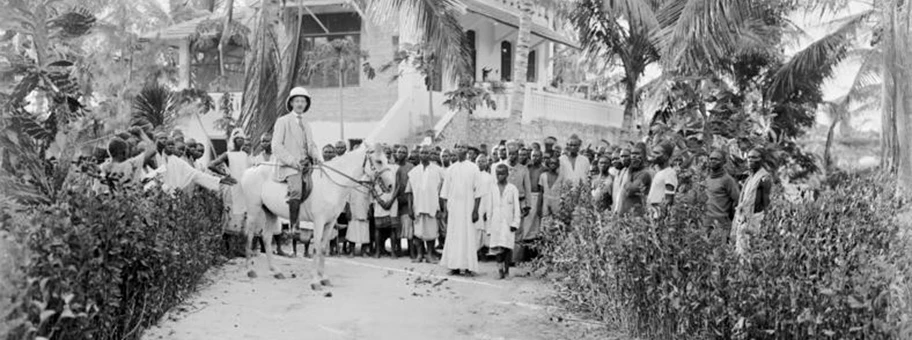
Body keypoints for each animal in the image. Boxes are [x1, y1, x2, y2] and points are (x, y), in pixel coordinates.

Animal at [239, 145, 392, 290]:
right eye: (378, 161)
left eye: (386, 159)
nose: (390, 185)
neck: (331, 184)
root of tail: (250, 170)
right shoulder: (319, 221)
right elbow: (316, 247)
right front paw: (315, 282)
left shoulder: (330, 222)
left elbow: (323, 248)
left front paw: (323, 278)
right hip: (253, 210)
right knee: (249, 236)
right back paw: (250, 270)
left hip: (270, 212)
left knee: (266, 237)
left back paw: (276, 271)